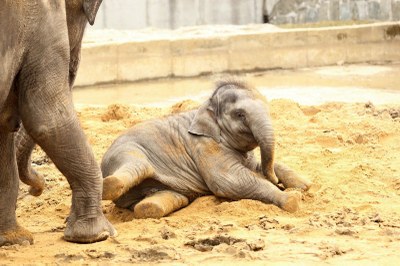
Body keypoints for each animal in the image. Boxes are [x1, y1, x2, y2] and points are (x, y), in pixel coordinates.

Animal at [101, 79, 310, 218]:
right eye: (240, 114)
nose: (277, 182)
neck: (206, 107)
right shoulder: (205, 145)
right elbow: (230, 181)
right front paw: (291, 200)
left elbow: (255, 167)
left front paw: (304, 185)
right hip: (126, 152)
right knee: (137, 165)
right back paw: (110, 184)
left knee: (169, 198)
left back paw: (150, 207)